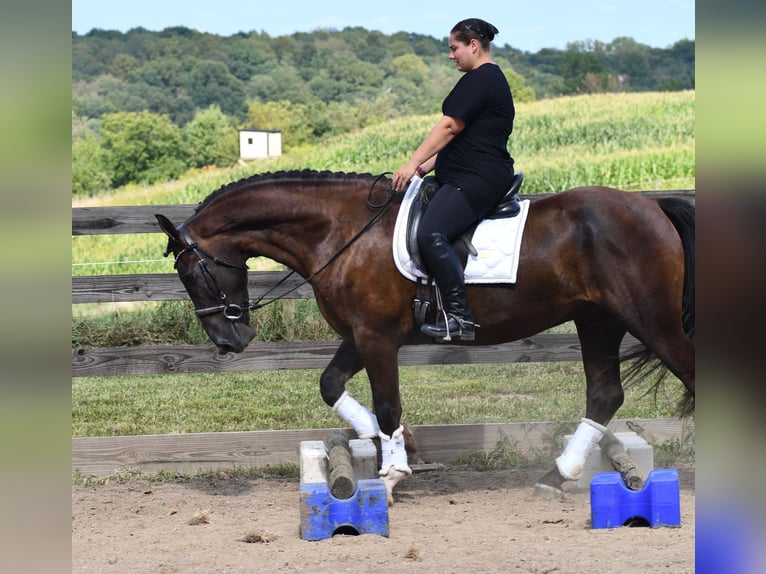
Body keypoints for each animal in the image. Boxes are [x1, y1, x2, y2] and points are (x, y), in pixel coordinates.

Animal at [156, 170, 696, 504]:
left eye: (189, 272)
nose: (230, 339)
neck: (339, 230)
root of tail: (654, 208)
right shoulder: (360, 335)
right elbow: (332, 386)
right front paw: (400, 446)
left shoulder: (377, 338)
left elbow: (388, 404)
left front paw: (394, 472)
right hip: (597, 320)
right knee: (605, 394)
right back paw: (554, 477)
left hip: (652, 320)